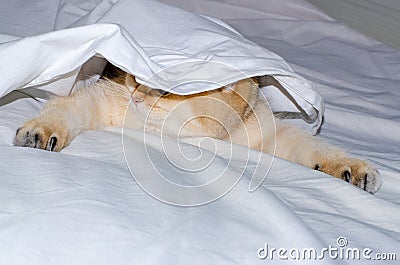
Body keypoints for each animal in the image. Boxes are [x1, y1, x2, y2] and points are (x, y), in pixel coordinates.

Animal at [13, 67, 382, 193]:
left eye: (164, 90)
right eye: (135, 75)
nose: (136, 95)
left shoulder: (266, 131)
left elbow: (313, 147)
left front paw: (356, 170)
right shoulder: (103, 98)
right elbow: (69, 108)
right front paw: (39, 132)